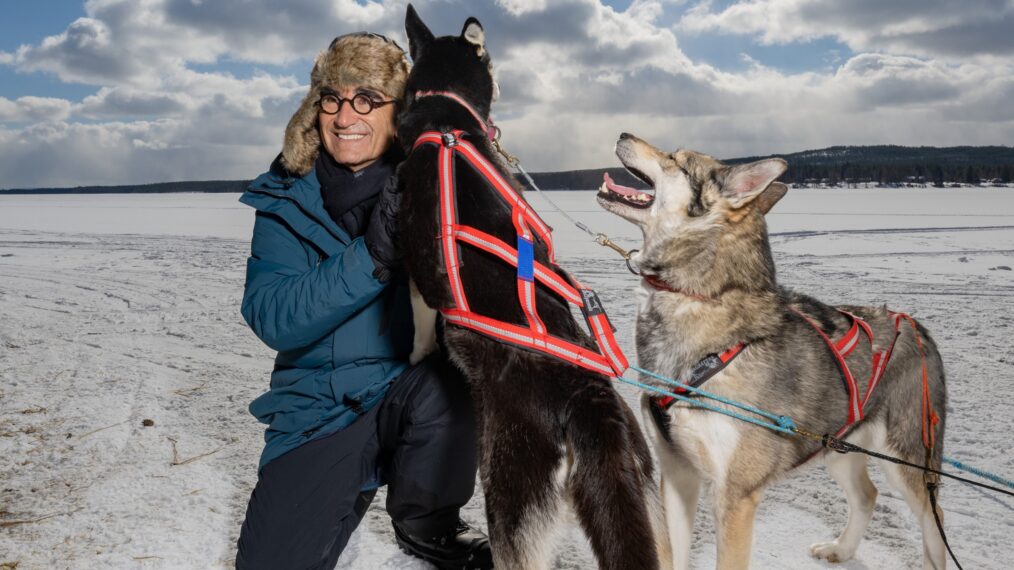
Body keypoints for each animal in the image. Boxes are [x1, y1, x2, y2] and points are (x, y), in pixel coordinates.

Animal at [397, 8, 673, 567]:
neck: (445, 118)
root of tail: (589, 396)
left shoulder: (416, 268)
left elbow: (419, 323)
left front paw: (416, 355)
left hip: (511, 495)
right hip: (641, 490)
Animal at [596, 130, 945, 563]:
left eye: (676, 159)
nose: (623, 133)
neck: (699, 300)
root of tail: (916, 326)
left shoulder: (736, 496)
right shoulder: (677, 476)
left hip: (906, 463)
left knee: (934, 524)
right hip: (837, 449)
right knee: (867, 494)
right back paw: (841, 550)